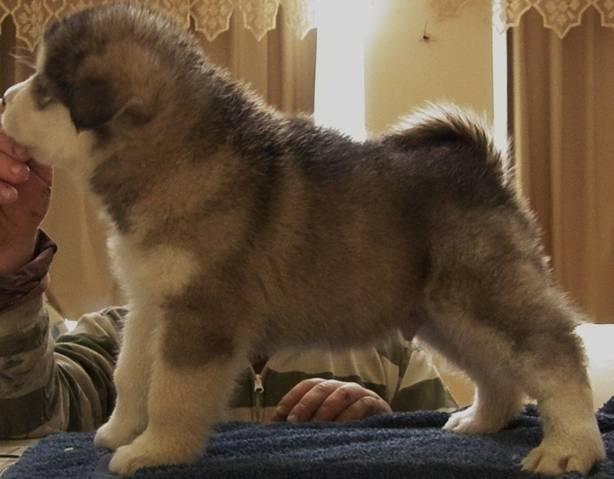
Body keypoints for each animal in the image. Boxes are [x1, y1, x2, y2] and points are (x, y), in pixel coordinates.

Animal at [0, 3, 608, 476]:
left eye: (45, 89)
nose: (4, 98)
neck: (180, 158)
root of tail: (480, 166)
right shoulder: (153, 303)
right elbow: (130, 373)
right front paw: (120, 430)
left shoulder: (202, 315)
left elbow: (172, 391)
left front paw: (156, 450)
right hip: (444, 316)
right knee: (497, 373)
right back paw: (481, 420)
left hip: (485, 295)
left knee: (556, 357)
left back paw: (569, 447)